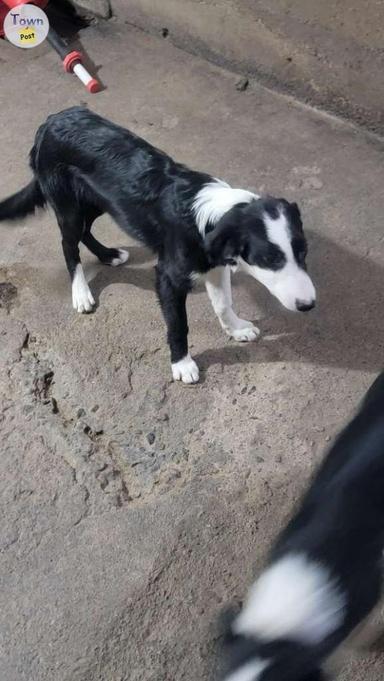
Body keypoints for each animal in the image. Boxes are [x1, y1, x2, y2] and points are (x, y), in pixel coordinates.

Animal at [0, 107, 316, 382]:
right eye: (270, 260)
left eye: (303, 252)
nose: (309, 305)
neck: (213, 217)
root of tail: (51, 121)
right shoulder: (168, 277)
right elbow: (178, 324)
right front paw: (182, 364)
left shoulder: (214, 264)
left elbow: (224, 303)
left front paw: (236, 329)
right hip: (68, 206)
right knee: (69, 245)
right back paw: (81, 292)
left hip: (98, 201)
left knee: (85, 231)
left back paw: (108, 255)